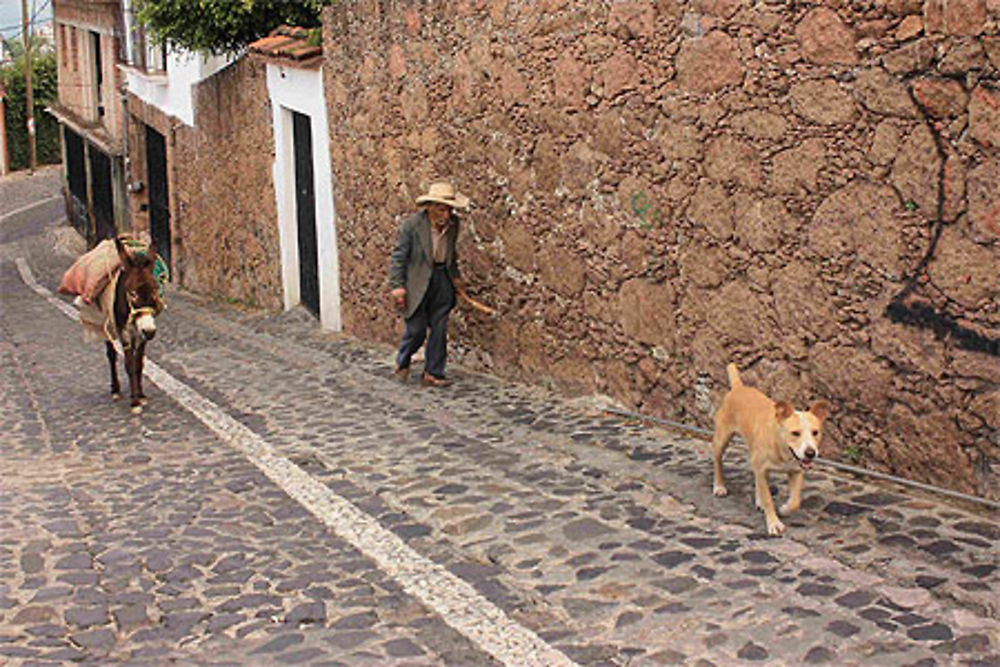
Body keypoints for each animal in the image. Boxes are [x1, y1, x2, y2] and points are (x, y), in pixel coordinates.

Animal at [716, 366, 832, 536]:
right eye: (795, 433)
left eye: (815, 432)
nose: (810, 453)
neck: (781, 448)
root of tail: (738, 388)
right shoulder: (763, 469)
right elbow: (768, 499)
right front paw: (774, 523)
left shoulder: (796, 470)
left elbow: (795, 501)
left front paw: (784, 509)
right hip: (721, 440)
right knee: (718, 461)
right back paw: (719, 486)